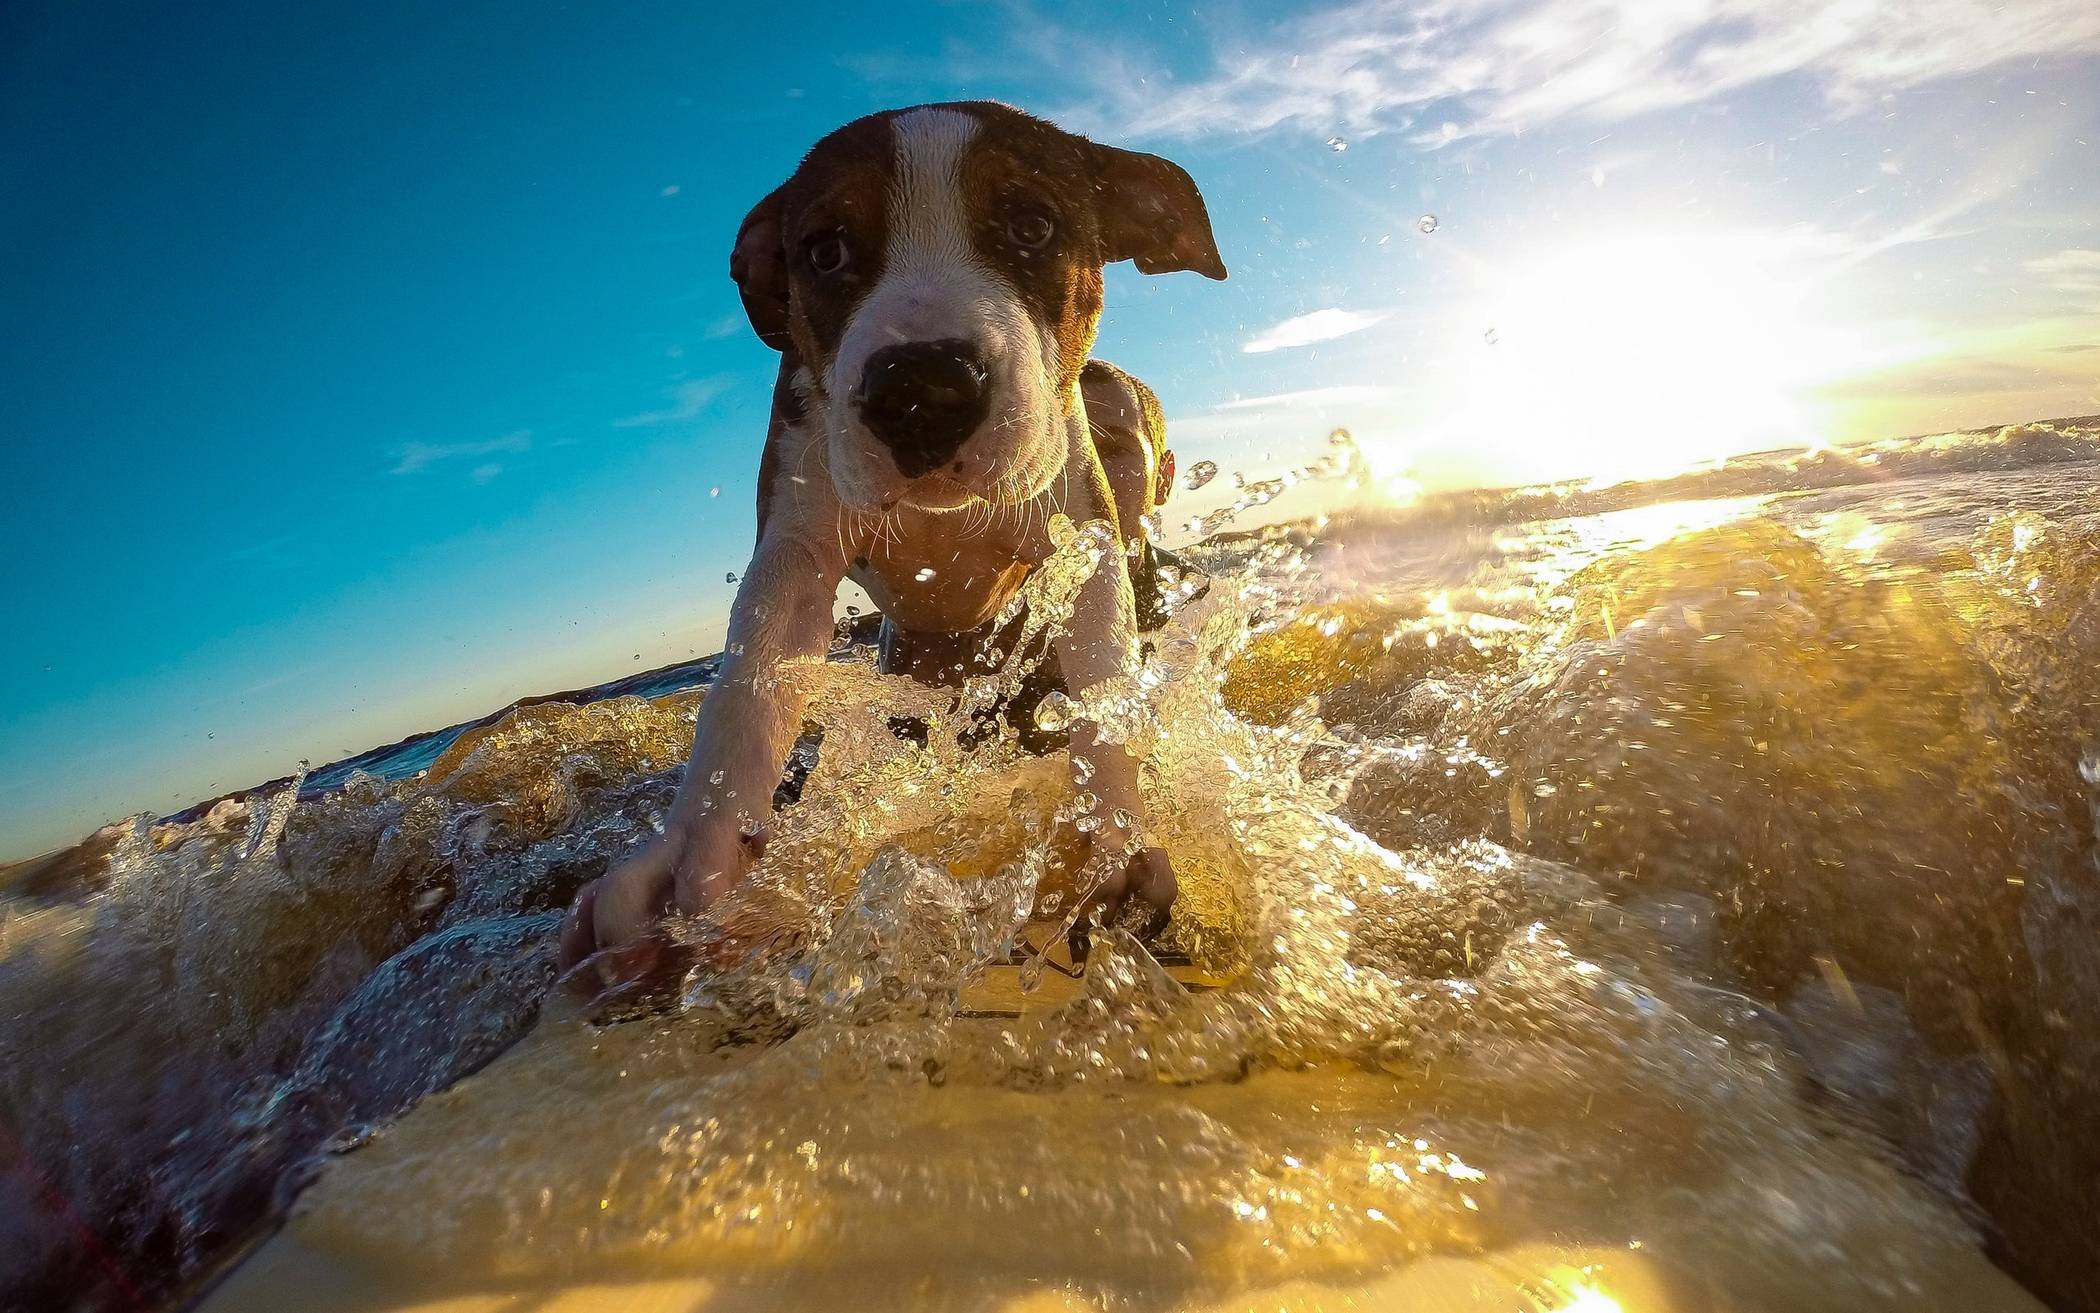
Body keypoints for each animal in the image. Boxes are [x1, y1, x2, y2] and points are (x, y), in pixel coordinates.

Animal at [562, 102, 1226, 966]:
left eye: (1032, 225)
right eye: (826, 251)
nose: (922, 388)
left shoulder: (1081, 532)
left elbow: (1101, 682)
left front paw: (1111, 836)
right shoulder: (795, 542)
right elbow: (748, 687)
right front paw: (693, 857)